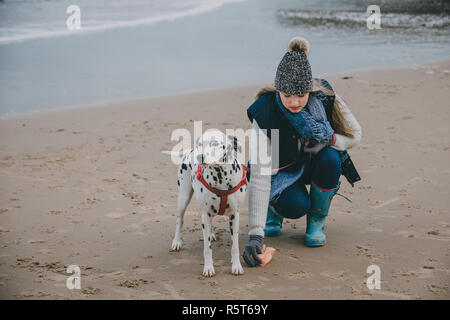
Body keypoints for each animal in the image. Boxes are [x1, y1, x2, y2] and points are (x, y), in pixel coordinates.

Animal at [162, 129, 248, 276]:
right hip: (183, 198)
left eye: (215, 143)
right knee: (180, 220)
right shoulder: (205, 216)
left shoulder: (234, 216)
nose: (200, 157)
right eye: (200, 144)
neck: (220, 178)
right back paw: (177, 242)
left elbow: (235, 246)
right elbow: (207, 249)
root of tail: (189, 151)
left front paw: (236, 265)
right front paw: (208, 268)